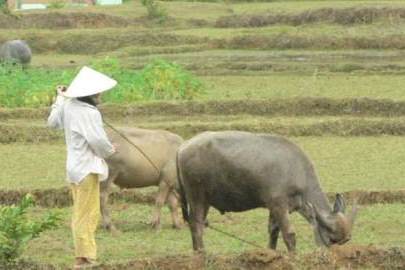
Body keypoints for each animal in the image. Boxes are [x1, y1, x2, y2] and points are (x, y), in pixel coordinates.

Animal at [177, 131, 356, 251]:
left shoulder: (274, 208)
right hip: (197, 197)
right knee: (197, 225)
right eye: (332, 239)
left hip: (203, 200)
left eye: (345, 241)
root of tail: (183, 148)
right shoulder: (279, 205)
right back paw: (201, 253)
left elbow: (273, 232)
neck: (295, 171)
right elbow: (289, 235)